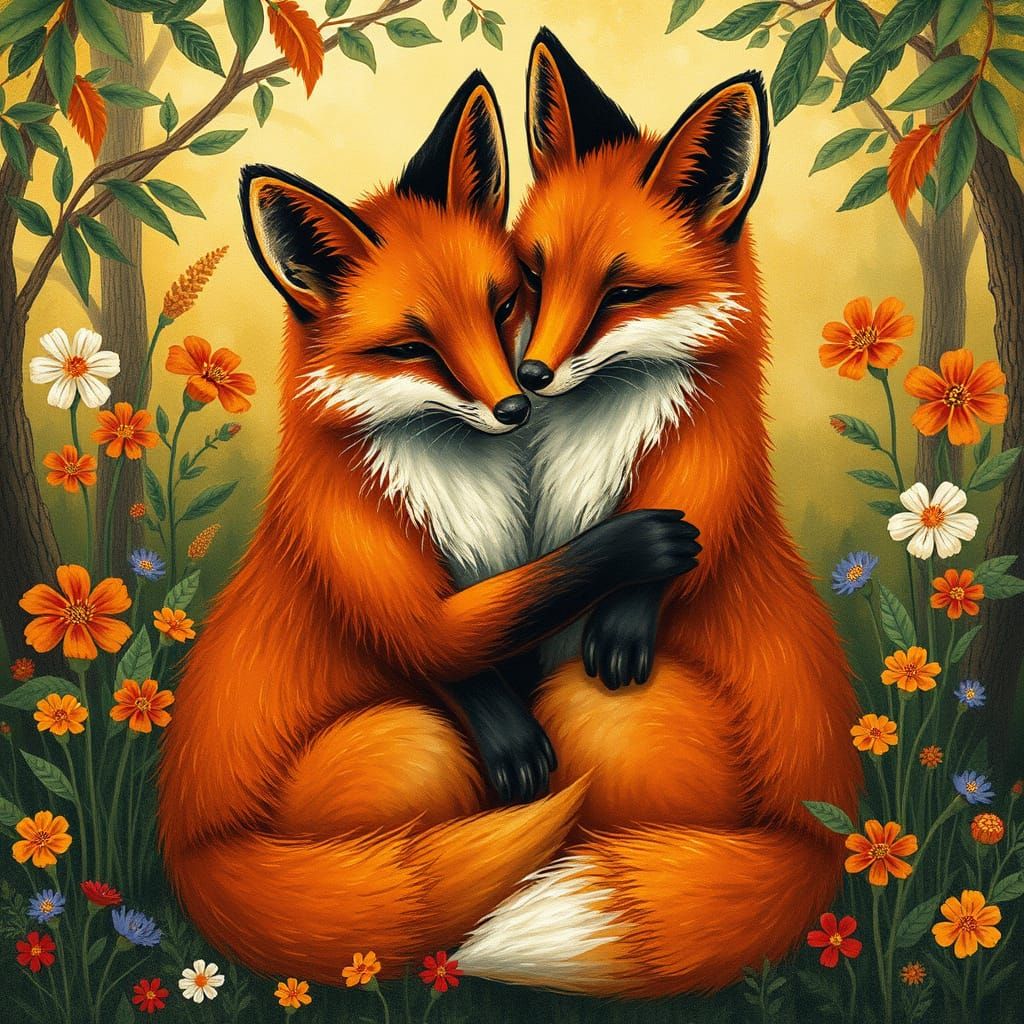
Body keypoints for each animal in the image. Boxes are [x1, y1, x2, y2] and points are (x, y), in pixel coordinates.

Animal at [157, 71, 700, 982]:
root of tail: (185, 851)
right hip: (417, 743)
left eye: (504, 302)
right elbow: (443, 641)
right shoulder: (369, 559)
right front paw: (636, 550)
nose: (517, 407)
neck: (465, 480)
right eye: (413, 347)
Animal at [452, 32, 864, 996]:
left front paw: (631, 606)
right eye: (533, 275)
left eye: (622, 292)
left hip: (607, 715)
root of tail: (825, 823)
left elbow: (701, 518)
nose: (529, 379)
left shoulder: (711, 450)